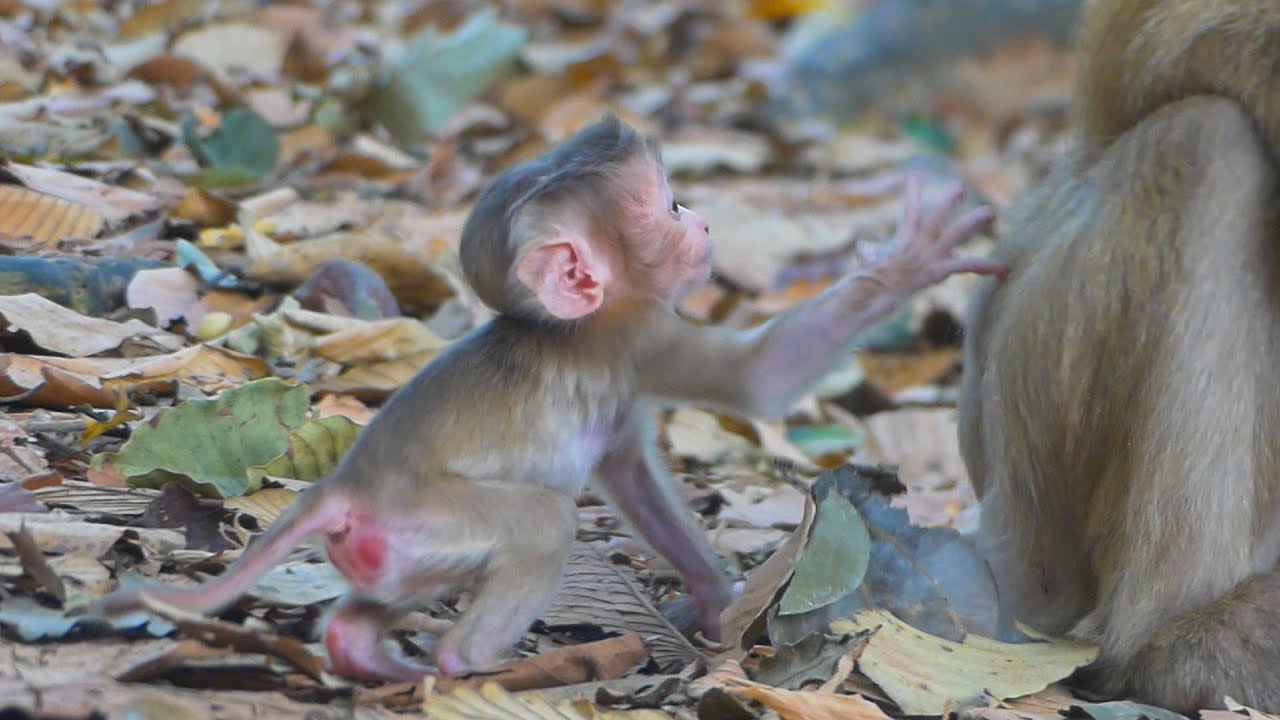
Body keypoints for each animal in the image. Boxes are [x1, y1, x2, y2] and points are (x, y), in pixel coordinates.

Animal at [90, 115, 1004, 683]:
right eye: (670, 205)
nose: (704, 222)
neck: (579, 320)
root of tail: (343, 486)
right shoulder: (640, 333)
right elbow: (759, 382)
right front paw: (912, 262)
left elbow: (631, 474)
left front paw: (717, 601)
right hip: (431, 518)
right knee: (541, 523)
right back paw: (478, 666)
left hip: (397, 550)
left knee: (380, 603)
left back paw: (366, 651)